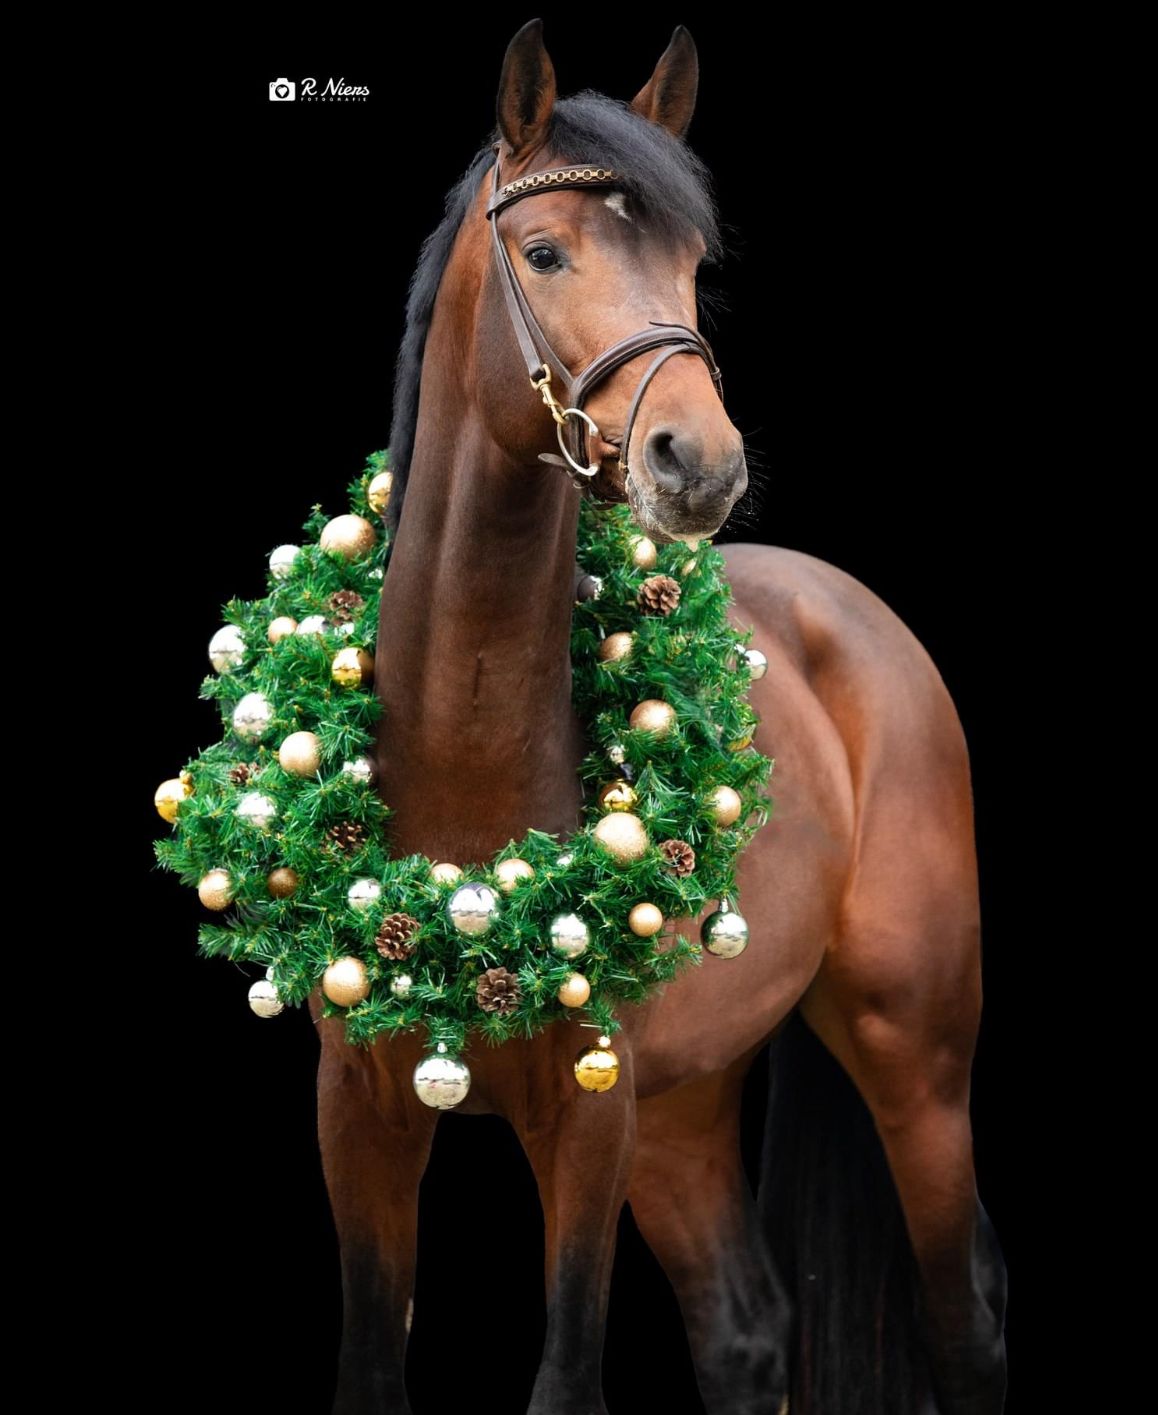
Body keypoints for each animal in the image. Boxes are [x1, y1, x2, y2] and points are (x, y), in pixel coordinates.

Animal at [309, 21, 1008, 1415]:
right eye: (543, 252)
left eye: (691, 264)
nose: (701, 461)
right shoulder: (359, 1110)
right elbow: (369, 1367)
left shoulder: (591, 1110)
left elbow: (568, 1376)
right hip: (688, 1106)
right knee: (744, 1331)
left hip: (913, 1054)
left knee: (965, 1319)